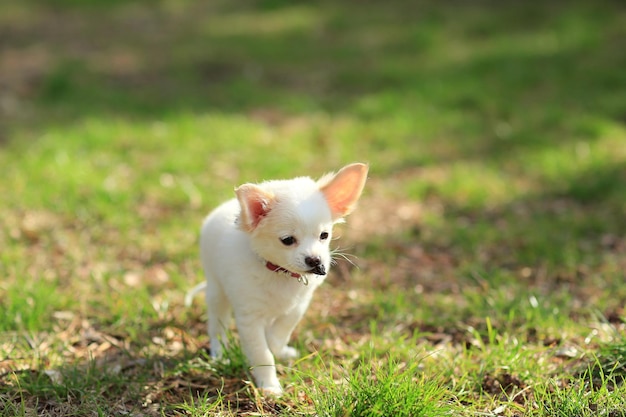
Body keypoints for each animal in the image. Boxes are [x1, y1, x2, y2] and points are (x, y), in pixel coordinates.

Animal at [197, 162, 368, 394]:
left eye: (324, 235)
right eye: (287, 240)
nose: (315, 260)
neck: (280, 273)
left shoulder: (298, 306)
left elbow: (280, 333)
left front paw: (278, 348)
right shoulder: (250, 318)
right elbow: (262, 354)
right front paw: (270, 387)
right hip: (216, 293)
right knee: (217, 326)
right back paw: (219, 355)